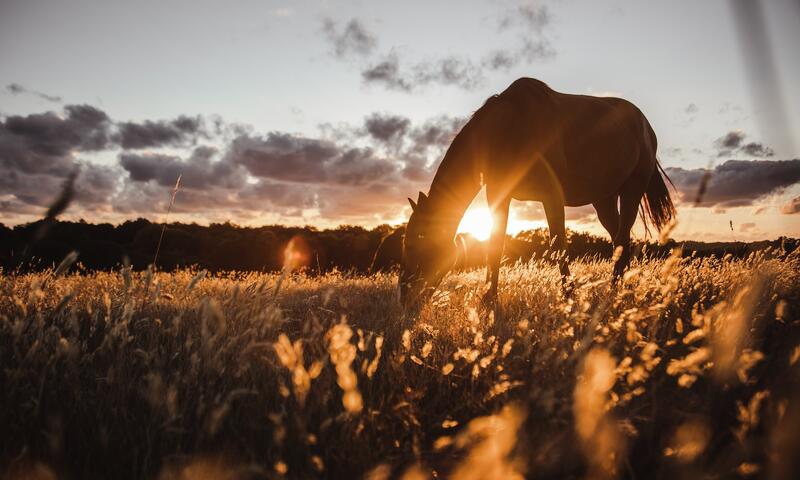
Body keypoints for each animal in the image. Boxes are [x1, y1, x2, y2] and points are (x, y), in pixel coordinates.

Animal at [400, 77, 676, 306]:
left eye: (417, 243)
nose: (404, 297)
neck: (507, 129)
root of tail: (645, 125)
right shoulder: (499, 197)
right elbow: (495, 245)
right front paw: (489, 299)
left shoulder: (552, 196)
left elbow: (558, 246)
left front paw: (568, 296)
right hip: (604, 200)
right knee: (620, 242)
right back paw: (617, 290)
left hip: (631, 191)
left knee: (623, 239)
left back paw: (613, 291)